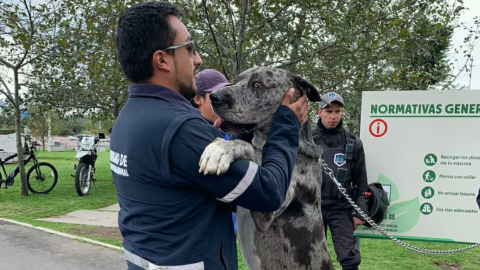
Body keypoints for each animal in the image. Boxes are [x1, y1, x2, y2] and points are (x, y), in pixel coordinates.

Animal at [198, 66, 334, 270]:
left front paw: (221, 149)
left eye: (257, 84)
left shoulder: (267, 212)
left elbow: (248, 148)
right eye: (238, 80)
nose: (215, 97)